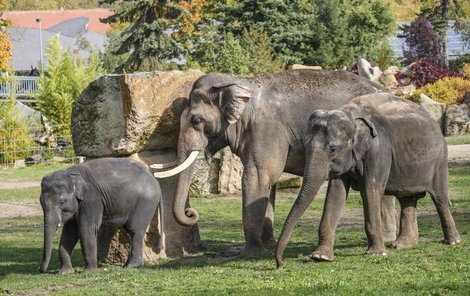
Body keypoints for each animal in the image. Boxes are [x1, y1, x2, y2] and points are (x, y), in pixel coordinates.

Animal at [153, 69, 392, 256]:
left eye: (196, 120)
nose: (191, 213)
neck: (239, 82)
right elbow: (269, 184)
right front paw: (268, 246)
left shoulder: (266, 128)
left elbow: (258, 178)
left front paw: (251, 253)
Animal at [274, 93, 460, 268]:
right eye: (306, 147)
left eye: (333, 149)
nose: (280, 263)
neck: (350, 113)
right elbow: (335, 193)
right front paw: (320, 257)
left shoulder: (379, 149)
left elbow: (370, 190)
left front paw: (376, 254)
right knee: (407, 198)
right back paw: (403, 245)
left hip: (440, 159)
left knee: (440, 198)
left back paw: (452, 241)